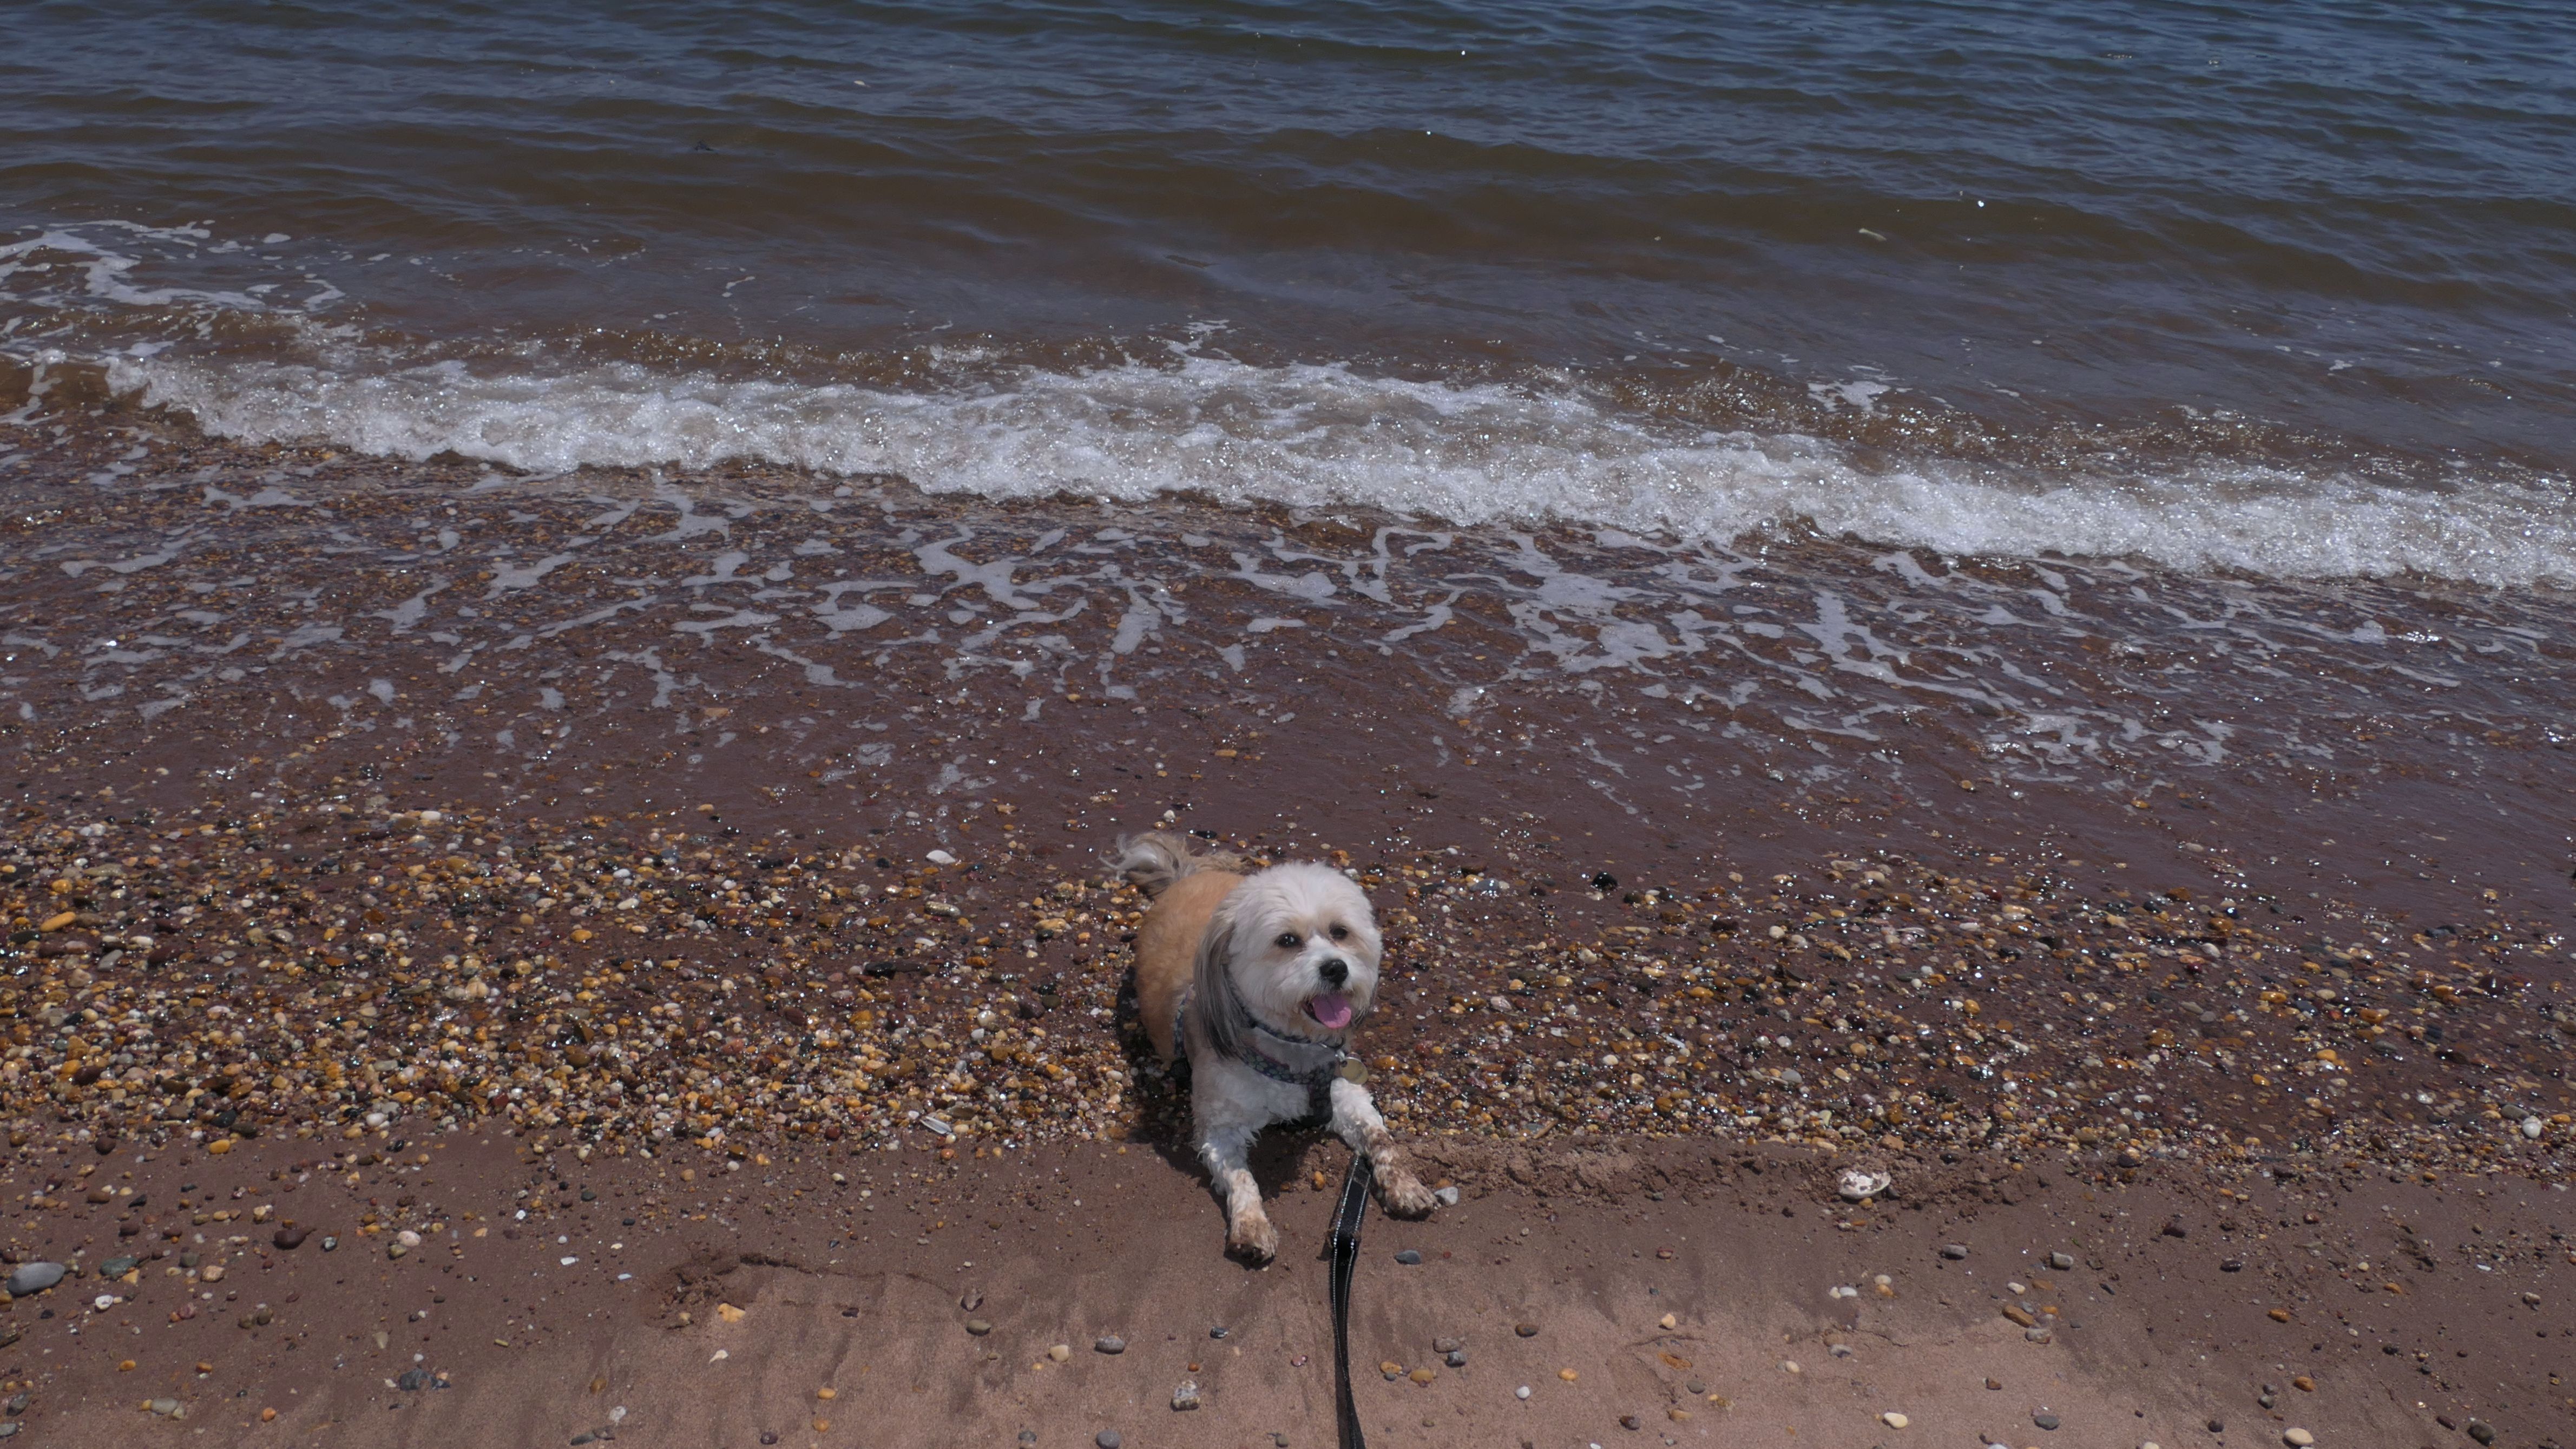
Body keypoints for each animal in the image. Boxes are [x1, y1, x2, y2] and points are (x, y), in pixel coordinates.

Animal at [1110, 831, 1436, 1260]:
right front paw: (1251, 1225)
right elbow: (1241, 1179)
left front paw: (1404, 1184)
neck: (1290, 1047)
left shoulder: (1345, 1094)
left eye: (1340, 932)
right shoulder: (1222, 1128)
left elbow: (1381, 1139)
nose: (1336, 967)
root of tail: (1189, 876)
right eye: (1287, 940)